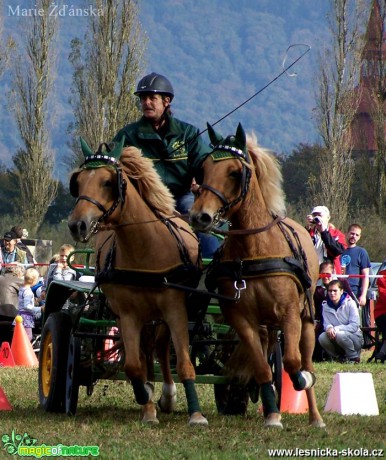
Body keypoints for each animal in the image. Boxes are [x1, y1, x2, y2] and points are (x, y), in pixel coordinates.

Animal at [68, 138, 208, 426]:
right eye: (79, 182)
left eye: (108, 182)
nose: (77, 225)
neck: (146, 249)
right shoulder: (128, 313)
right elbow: (133, 366)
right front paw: (146, 403)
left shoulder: (175, 308)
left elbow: (184, 363)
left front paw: (196, 414)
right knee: (145, 352)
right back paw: (150, 391)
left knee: (161, 349)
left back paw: (167, 394)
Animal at [190, 124, 326, 430]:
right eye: (202, 170)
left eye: (234, 172)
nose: (200, 217)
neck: (254, 250)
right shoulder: (243, 320)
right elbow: (263, 368)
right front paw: (273, 415)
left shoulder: (289, 314)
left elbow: (292, 362)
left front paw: (300, 382)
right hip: (266, 325)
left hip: (306, 319)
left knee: (306, 360)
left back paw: (315, 416)